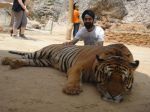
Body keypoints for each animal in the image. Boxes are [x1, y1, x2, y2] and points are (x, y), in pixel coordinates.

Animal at [1, 43, 139, 102]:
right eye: (106, 76)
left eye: (124, 80)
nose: (113, 96)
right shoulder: (78, 66)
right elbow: (75, 77)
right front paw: (72, 89)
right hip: (41, 53)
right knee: (27, 55)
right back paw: (6, 60)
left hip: (41, 61)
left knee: (26, 60)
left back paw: (14, 63)